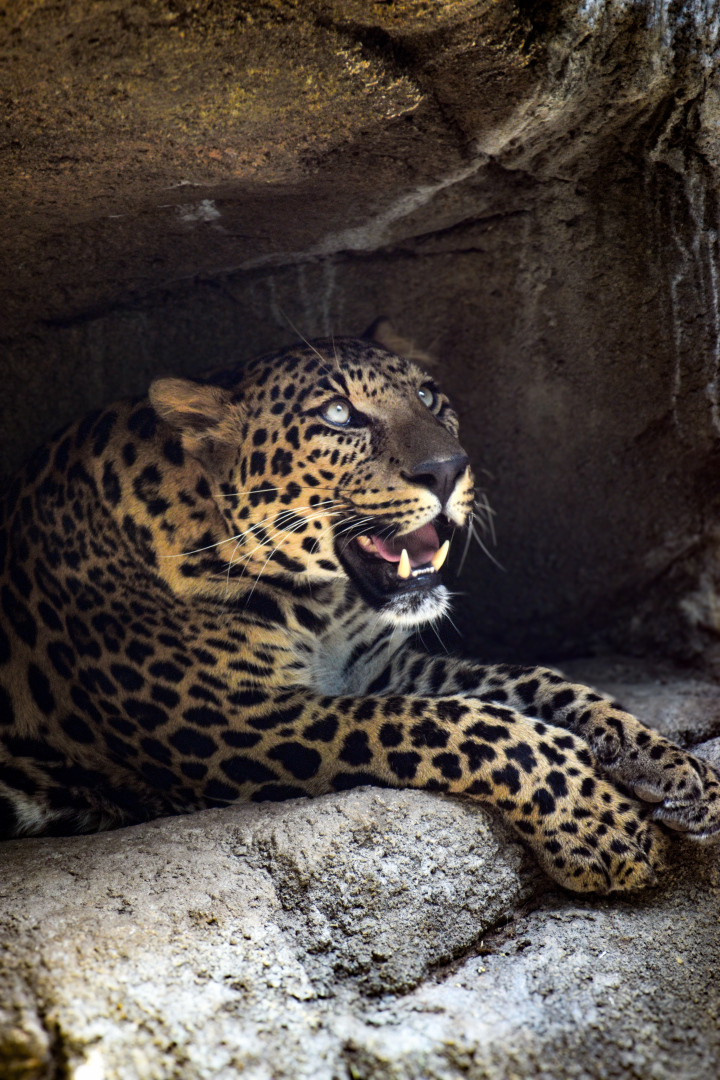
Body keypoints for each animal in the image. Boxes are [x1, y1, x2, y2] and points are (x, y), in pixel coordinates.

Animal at [1, 331, 719, 895]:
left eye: (428, 396)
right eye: (340, 414)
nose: (450, 469)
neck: (318, 607)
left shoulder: (374, 668)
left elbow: (535, 682)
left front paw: (674, 769)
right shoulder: (238, 722)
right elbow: (456, 725)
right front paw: (599, 822)